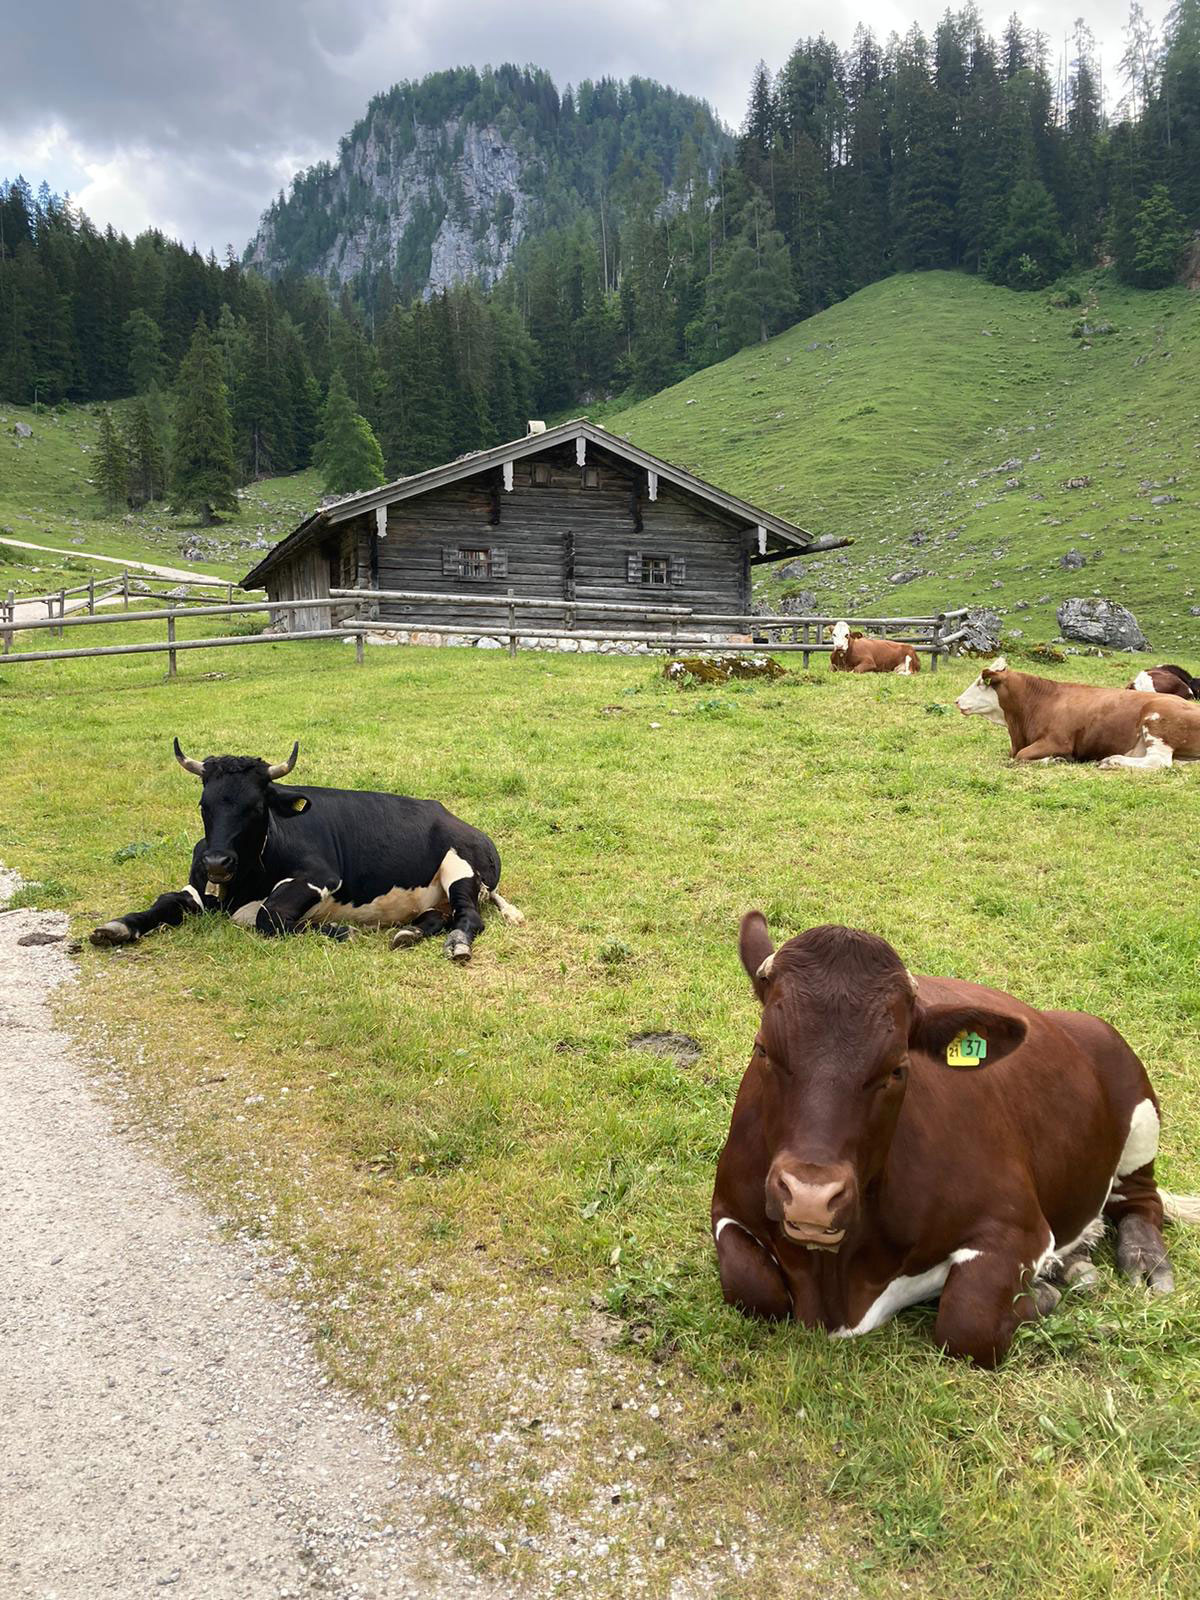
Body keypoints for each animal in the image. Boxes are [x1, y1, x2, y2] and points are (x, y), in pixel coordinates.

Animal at [91, 739, 524, 960]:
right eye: (204, 805)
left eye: (256, 807)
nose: (217, 862)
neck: (242, 884)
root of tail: (455, 818)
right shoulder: (199, 887)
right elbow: (167, 900)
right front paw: (117, 927)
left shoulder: (321, 877)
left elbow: (268, 915)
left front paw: (336, 928)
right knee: (436, 915)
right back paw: (409, 933)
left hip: (461, 870)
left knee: (469, 917)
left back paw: (457, 942)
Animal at [710, 915, 1196, 1363]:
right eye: (762, 1049)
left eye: (897, 1068)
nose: (811, 1197)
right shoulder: (728, 1206)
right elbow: (752, 1287)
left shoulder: (1017, 1224)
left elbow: (967, 1322)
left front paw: (1039, 1297)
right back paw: (1072, 1265)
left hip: (1134, 1092)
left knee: (1140, 1200)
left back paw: (1143, 1262)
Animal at [960, 656, 1200, 768]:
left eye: (981, 682)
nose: (957, 701)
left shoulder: (1058, 741)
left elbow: (1020, 756)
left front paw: (1054, 760)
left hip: (1157, 722)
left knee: (1159, 761)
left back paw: (1111, 761)